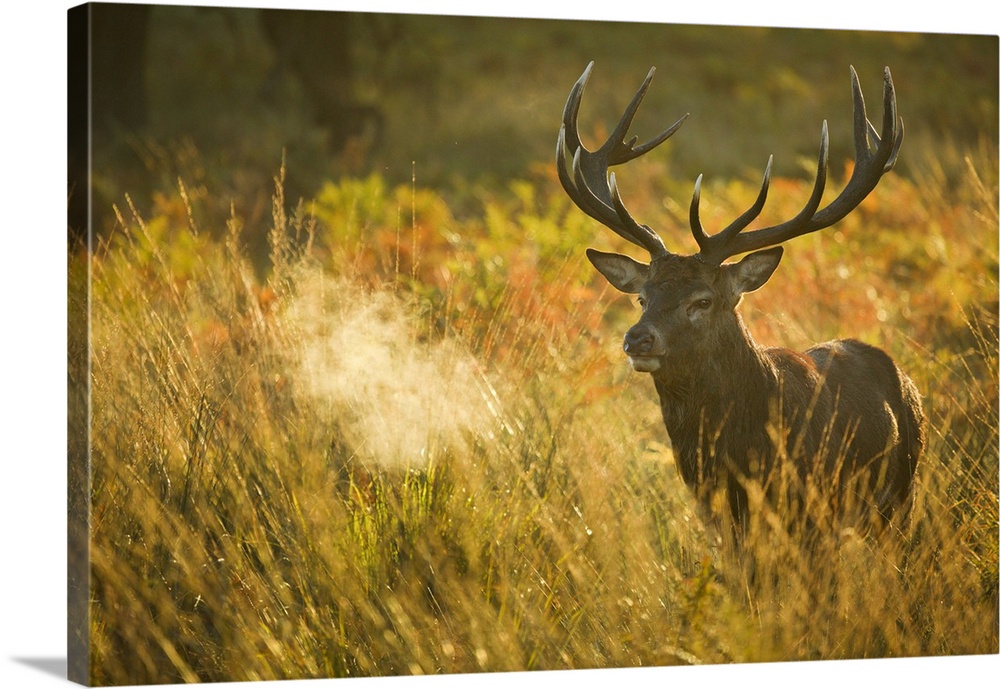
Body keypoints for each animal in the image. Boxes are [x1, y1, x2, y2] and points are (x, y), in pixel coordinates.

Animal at [556, 62, 925, 542]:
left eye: (703, 300)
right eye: (641, 297)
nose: (637, 340)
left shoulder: (810, 515)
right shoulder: (718, 518)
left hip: (900, 495)